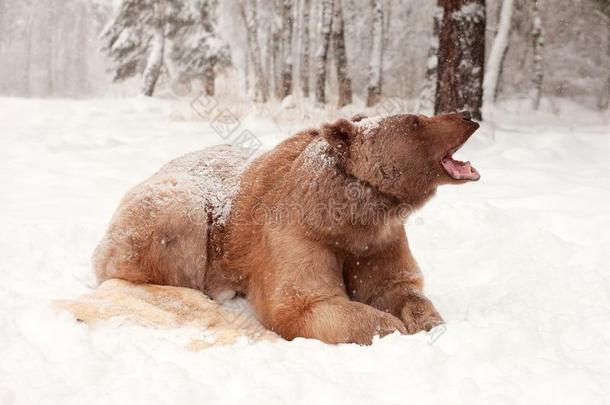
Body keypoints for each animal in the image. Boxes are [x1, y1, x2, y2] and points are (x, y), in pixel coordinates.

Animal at [92, 111, 478, 344]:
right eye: (414, 122)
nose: (466, 115)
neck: (349, 218)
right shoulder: (298, 234)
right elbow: (303, 303)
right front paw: (390, 327)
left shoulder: (380, 241)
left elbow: (398, 286)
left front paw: (426, 322)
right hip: (175, 207)